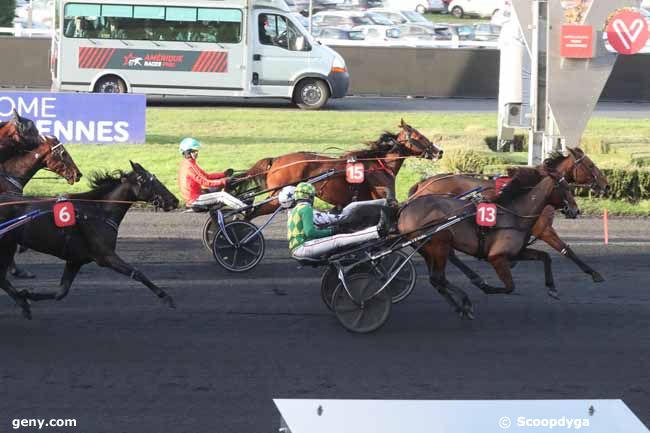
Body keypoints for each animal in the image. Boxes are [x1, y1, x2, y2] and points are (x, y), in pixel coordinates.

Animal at [0, 162, 177, 318]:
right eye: (150, 182)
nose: (174, 200)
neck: (98, 211)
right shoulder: (105, 256)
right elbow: (137, 273)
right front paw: (166, 297)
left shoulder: (75, 260)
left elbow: (61, 292)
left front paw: (28, 294)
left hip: (8, 245)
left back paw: (23, 303)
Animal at [228, 119, 440, 218]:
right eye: (419, 137)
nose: (439, 151)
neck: (378, 164)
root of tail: (277, 160)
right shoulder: (383, 194)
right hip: (279, 196)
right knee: (253, 212)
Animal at [398, 172, 576, 318]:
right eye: (566, 188)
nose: (576, 210)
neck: (514, 214)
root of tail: (405, 210)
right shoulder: (496, 257)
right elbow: (509, 287)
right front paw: (485, 286)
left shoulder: (516, 252)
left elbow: (545, 256)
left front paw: (552, 288)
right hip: (439, 244)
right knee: (439, 277)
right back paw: (465, 301)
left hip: (427, 249)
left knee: (436, 280)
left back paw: (460, 306)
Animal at [408, 148, 604, 290]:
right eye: (590, 165)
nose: (605, 185)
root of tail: (422, 184)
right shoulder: (544, 229)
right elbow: (566, 250)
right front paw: (594, 273)